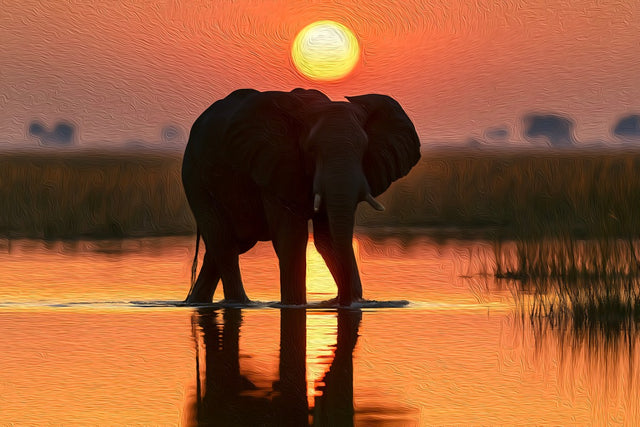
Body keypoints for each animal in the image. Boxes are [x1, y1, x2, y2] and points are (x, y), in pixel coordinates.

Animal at [182, 88, 421, 306]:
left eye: (364, 149)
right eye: (311, 150)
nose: (344, 301)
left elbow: (327, 238)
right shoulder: (276, 166)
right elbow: (292, 238)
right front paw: (294, 306)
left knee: (225, 248)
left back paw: (196, 303)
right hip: (196, 181)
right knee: (224, 244)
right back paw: (240, 303)